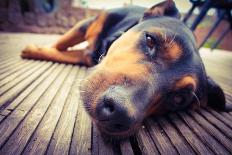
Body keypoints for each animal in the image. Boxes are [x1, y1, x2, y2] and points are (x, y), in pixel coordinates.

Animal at [21, 0, 227, 139]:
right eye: (150, 40)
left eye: (179, 99)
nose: (119, 114)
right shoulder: (87, 25)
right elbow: (60, 44)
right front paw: (34, 49)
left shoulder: (86, 56)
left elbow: (60, 52)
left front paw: (35, 50)